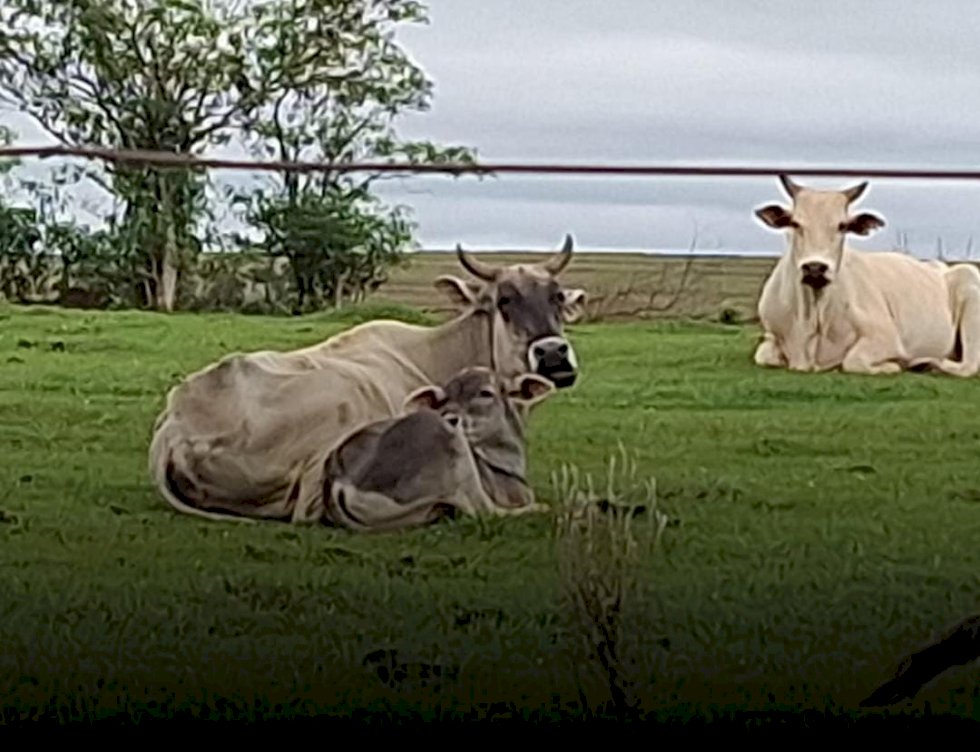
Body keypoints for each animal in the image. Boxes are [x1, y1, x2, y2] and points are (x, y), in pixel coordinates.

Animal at [320, 366, 556, 532]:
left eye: (485, 393)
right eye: (444, 399)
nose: (450, 417)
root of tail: (340, 478)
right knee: (484, 511)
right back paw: (542, 509)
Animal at [752, 175, 980, 376]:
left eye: (842, 226)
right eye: (795, 223)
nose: (815, 267)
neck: (813, 316)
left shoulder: (885, 337)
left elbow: (853, 361)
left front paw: (892, 366)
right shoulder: (771, 336)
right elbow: (764, 356)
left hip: (970, 283)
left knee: (968, 366)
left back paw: (928, 363)